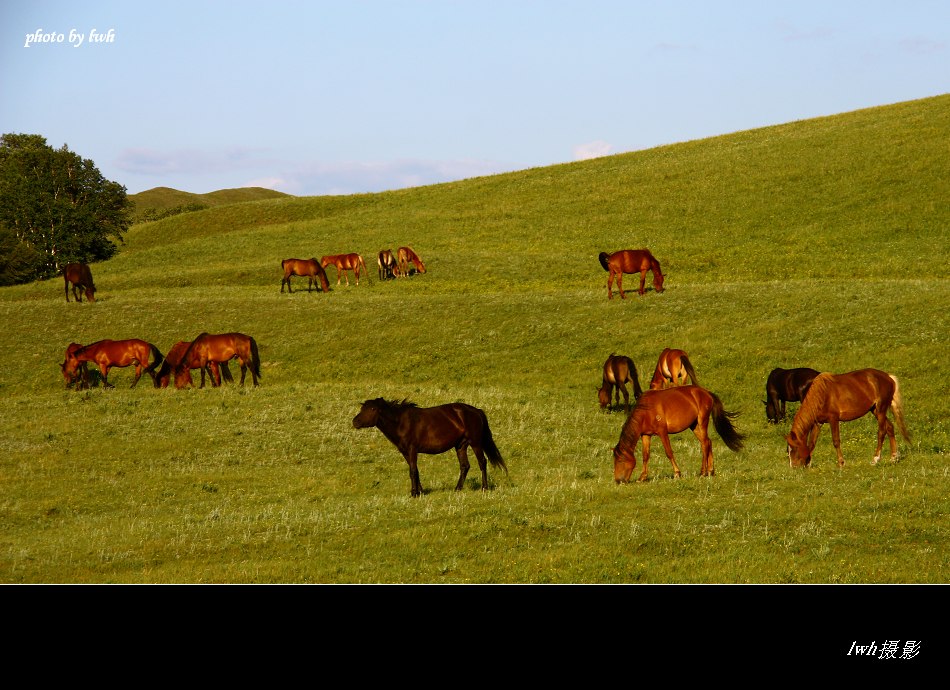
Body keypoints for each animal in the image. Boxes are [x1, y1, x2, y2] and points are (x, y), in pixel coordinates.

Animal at [612, 384, 748, 482]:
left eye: (620, 461)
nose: (619, 480)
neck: (646, 410)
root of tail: (706, 392)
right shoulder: (646, 435)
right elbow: (645, 455)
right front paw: (642, 477)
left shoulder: (662, 432)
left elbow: (669, 452)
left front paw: (677, 473)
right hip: (694, 426)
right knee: (708, 442)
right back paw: (710, 470)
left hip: (702, 421)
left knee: (704, 443)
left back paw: (703, 472)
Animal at [784, 370, 912, 468]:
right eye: (788, 450)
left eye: (794, 449)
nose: (793, 467)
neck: (821, 395)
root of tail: (888, 377)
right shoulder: (817, 423)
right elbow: (812, 443)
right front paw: (808, 463)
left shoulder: (833, 419)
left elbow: (836, 441)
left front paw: (841, 463)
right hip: (875, 410)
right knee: (889, 427)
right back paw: (894, 457)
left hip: (881, 410)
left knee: (881, 432)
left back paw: (876, 459)